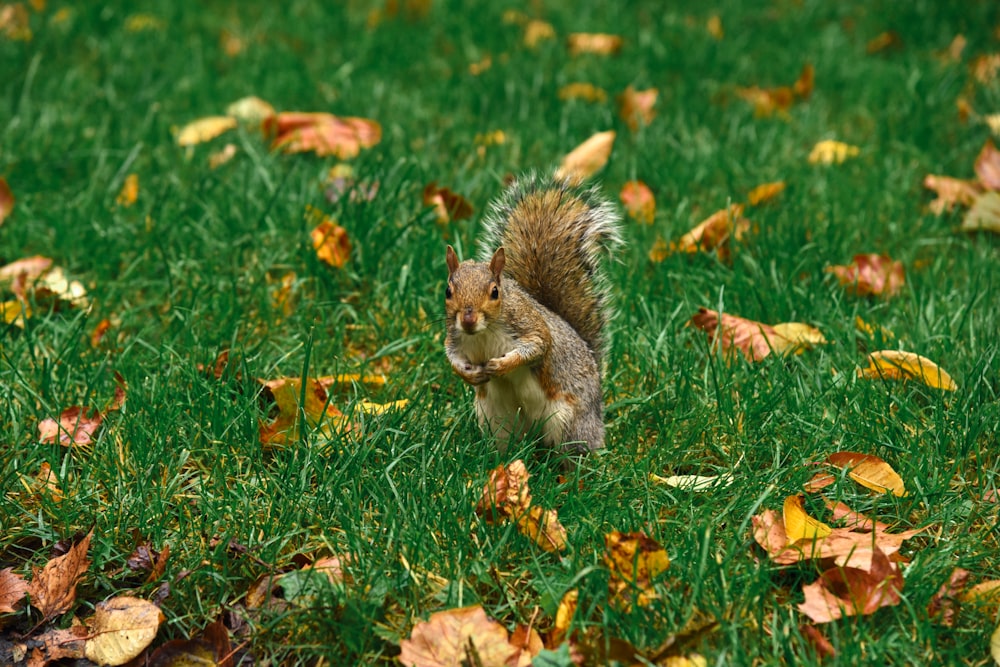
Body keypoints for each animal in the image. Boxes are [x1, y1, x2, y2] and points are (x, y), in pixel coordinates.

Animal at [444, 172, 620, 456]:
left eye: (495, 292)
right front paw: (470, 374)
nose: (468, 319)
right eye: (448, 291)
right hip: (496, 421)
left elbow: (538, 346)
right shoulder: (454, 337)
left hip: (571, 424)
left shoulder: (529, 325)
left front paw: (501, 365)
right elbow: (452, 357)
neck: (482, 333)